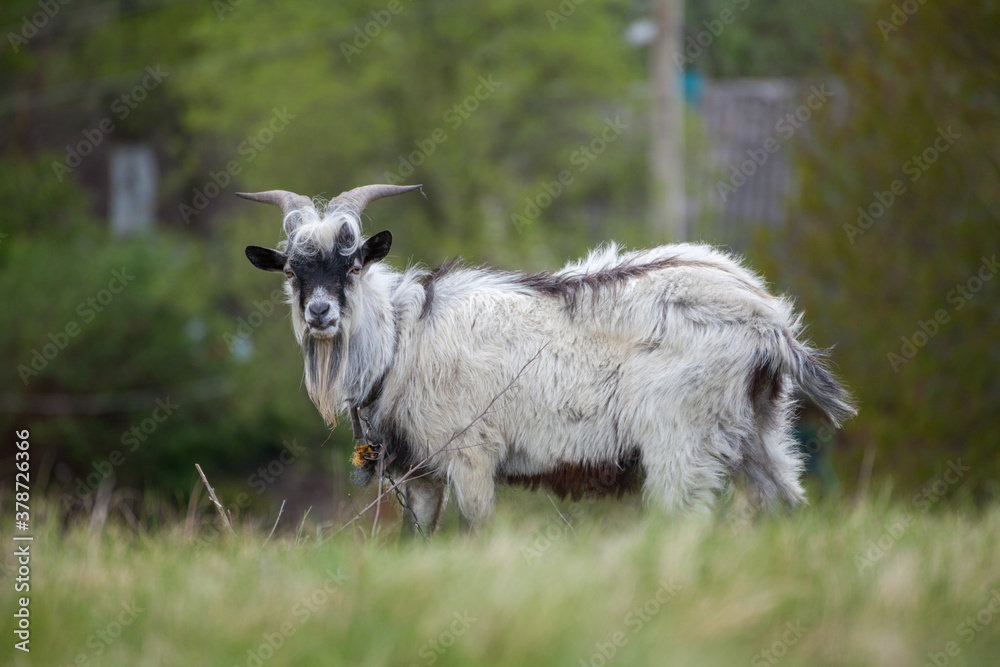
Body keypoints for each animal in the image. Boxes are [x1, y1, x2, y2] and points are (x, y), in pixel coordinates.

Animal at [238, 184, 855, 532]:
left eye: (353, 265)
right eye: (291, 270)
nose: (320, 313)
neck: (403, 342)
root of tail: (769, 321)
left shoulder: (472, 455)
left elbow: (477, 534)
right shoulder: (421, 475)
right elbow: (419, 542)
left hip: (680, 439)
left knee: (684, 521)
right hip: (759, 430)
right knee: (786, 505)